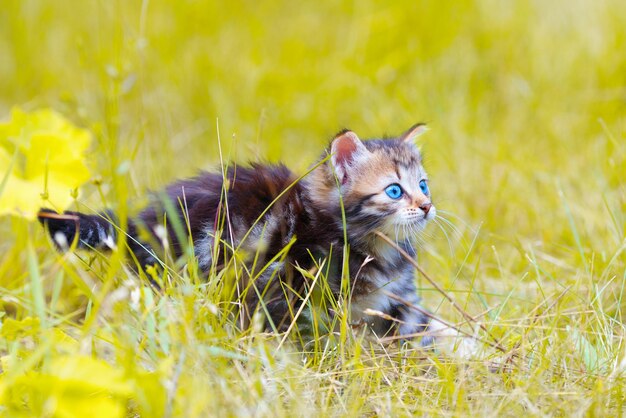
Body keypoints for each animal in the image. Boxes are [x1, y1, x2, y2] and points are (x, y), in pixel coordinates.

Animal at [40, 124, 464, 350]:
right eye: (394, 191)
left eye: (423, 185)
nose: (427, 206)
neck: (374, 244)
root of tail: (141, 220)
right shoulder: (306, 291)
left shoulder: (401, 301)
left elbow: (430, 327)